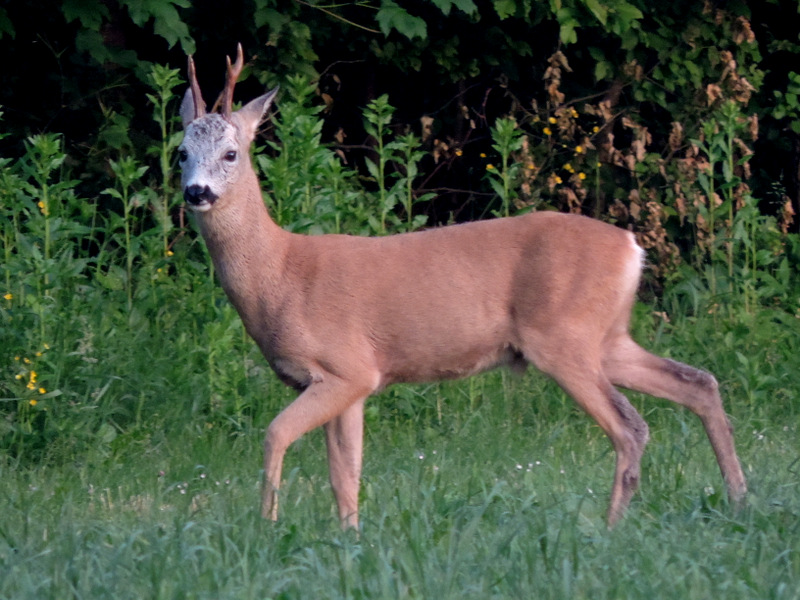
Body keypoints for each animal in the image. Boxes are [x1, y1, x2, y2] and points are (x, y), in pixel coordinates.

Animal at [178, 44, 748, 528]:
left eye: (231, 153)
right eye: (181, 151)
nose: (196, 192)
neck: (280, 274)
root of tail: (632, 247)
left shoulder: (346, 368)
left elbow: (276, 434)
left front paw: (268, 526)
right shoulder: (353, 383)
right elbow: (346, 475)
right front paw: (349, 539)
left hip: (563, 336)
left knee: (631, 426)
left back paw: (611, 527)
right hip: (607, 337)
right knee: (698, 381)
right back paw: (740, 498)